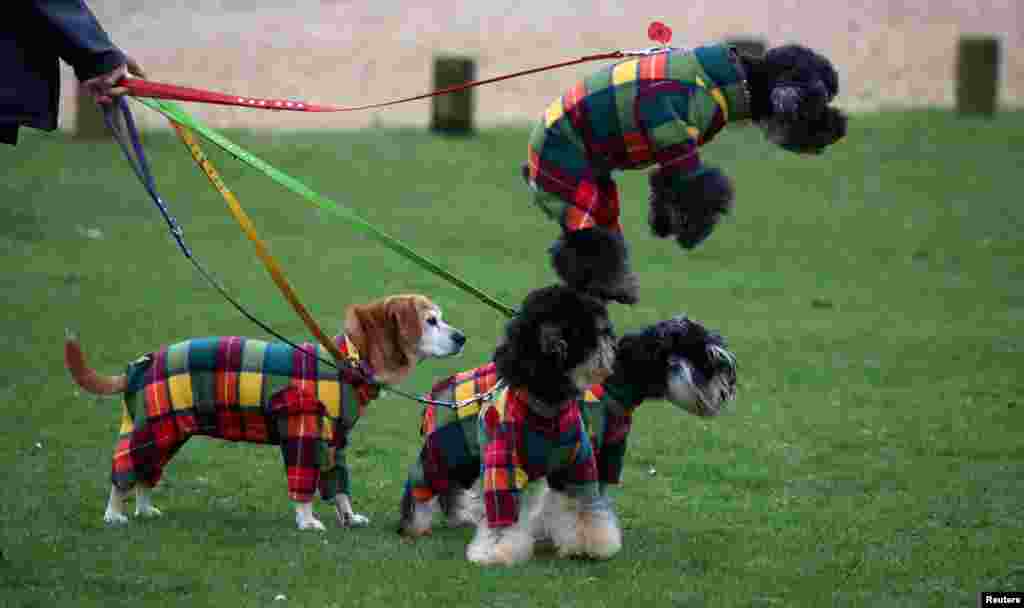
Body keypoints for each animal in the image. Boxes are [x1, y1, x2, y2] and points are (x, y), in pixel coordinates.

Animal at [62, 296, 464, 528]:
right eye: (430, 321)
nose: (461, 336)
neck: (346, 362)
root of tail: (142, 363)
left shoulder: (334, 442)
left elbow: (338, 486)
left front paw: (348, 517)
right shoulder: (303, 433)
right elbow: (303, 487)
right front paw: (307, 521)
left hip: (168, 430)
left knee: (147, 476)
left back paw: (144, 509)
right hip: (150, 429)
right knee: (125, 472)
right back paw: (114, 514)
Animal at [397, 313, 737, 540]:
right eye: (707, 358)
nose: (727, 392)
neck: (614, 382)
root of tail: (437, 393)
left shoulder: (601, 453)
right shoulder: (581, 451)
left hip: (466, 455)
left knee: (450, 489)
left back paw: (459, 517)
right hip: (447, 450)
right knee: (421, 487)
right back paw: (413, 525)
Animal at [524, 41, 843, 300]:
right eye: (820, 102)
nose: (841, 128)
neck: (737, 79)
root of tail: (531, 158)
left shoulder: (673, 148)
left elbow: (667, 185)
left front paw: (664, 222)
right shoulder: (670, 128)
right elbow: (697, 188)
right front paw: (692, 232)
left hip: (594, 189)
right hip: (573, 181)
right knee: (589, 243)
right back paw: (612, 286)